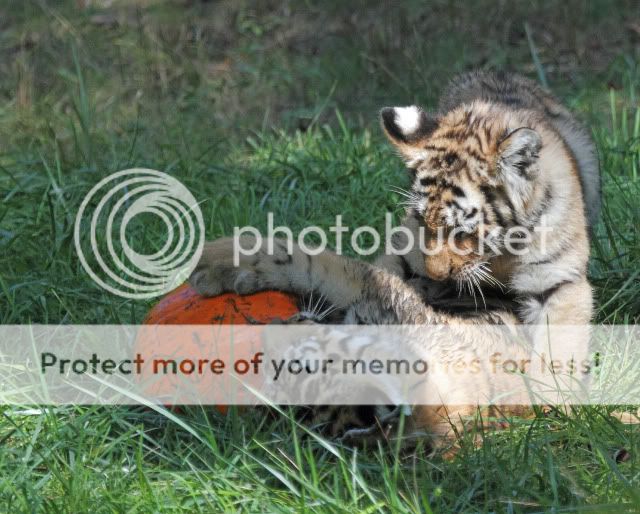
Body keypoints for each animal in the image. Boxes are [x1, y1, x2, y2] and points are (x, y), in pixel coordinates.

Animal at [189, 70, 600, 447]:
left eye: (463, 232)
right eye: (423, 221)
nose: (438, 280)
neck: (497, 257)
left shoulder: (559, 282)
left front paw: (554, 404)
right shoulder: (404, 263)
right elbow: (322, 263)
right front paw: (221, 260)